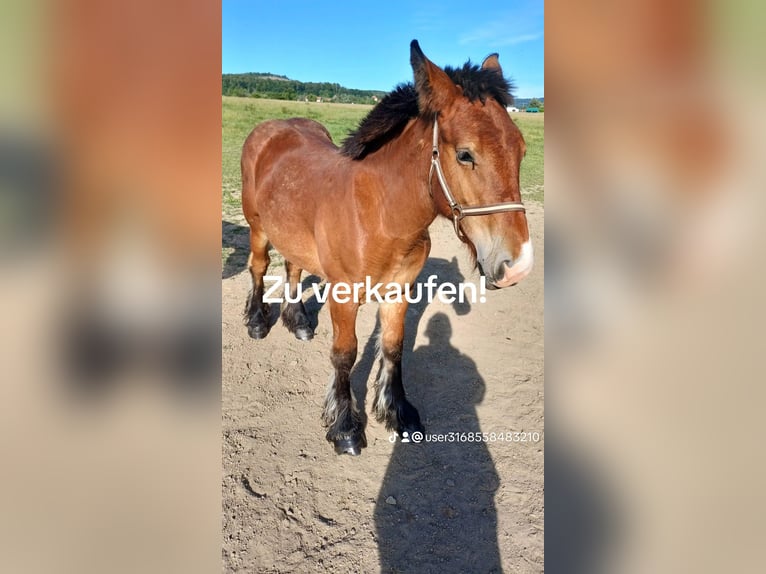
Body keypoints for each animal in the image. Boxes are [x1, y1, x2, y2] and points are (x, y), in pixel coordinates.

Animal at [243, 40, 532, 456]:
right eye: (465, 154)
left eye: (521, 150)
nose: (518, 265)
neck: (379, 213)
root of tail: (270, 128)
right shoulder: (344, 295)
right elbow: (345, 353)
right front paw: (345, 426)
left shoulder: (399, 290)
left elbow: (394, 346)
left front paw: (396, 412)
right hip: (257, 227)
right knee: (259, 267)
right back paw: (255, 321)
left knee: (294, 267)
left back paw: (297, 321)